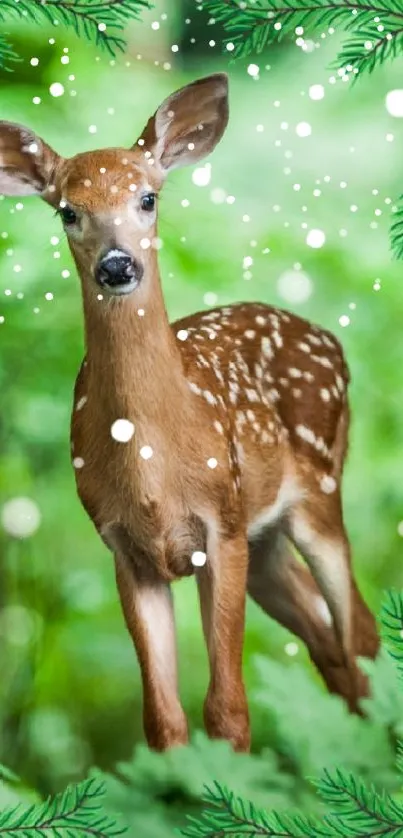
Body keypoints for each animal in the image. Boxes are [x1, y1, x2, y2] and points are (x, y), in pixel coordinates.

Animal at [0, 74, 378, 756]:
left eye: (148, 198)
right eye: (67, 210)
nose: (117, 265)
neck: (153, 466)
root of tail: (329, 339)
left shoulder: (220, 526)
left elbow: (227, 711)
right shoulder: (124, 548)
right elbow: (163, 722)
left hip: (318, 491)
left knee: (359, 631)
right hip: (267, 541)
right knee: (329, 642)